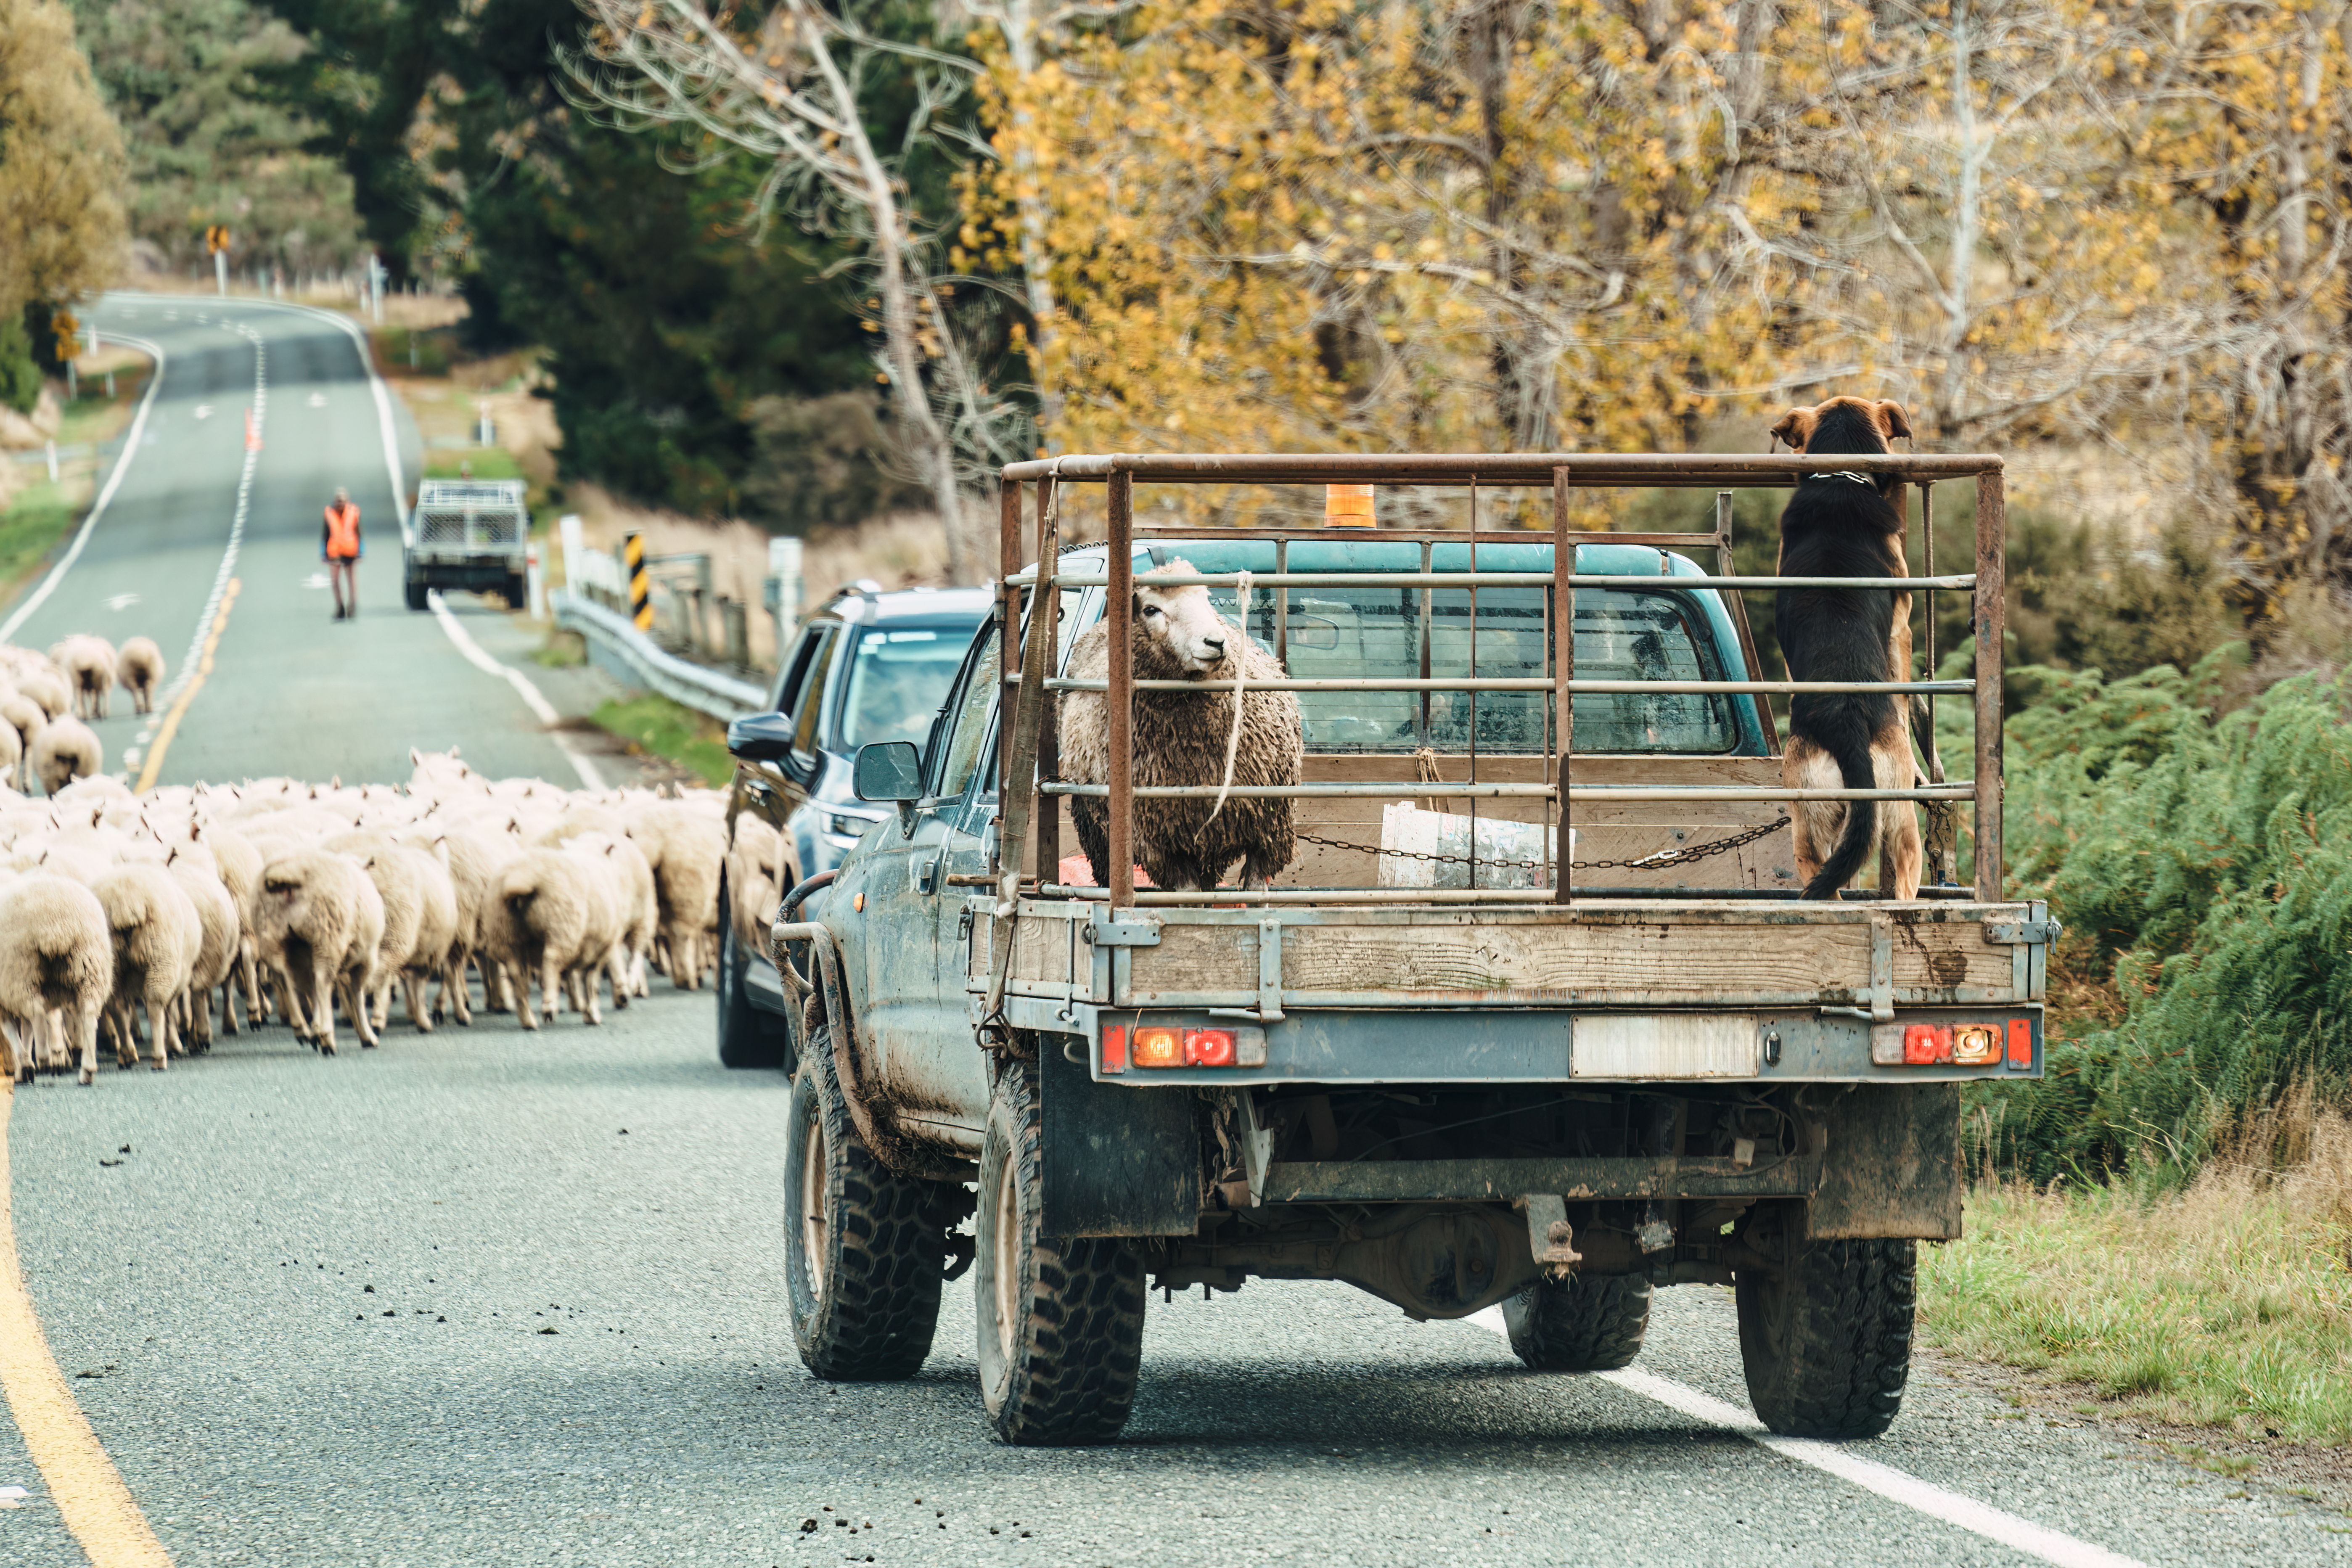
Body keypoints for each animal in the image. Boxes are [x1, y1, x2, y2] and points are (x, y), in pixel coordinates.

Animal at [0, 874, 111, 1084]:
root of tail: (56, 921)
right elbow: (25, 1031)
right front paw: (25, 1069)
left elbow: (13, 1031)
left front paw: (24, 1068)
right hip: (90, 965)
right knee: (89, 1015)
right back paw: (87, 1071)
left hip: (20, 969)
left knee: (36, 1012)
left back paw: (45, 1057)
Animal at [116, 637, 165, 715]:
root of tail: (140, 655)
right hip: (149, 676)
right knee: (146, 690)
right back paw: (147, 708)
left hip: (132, 676)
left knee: (137, 690)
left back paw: (141, 708)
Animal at [1058, 559, 1303, 891]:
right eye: (1150, 609)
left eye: (1205, 600)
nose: (1216, 642)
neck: (1196, 745)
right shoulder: (1162, 842)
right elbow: (1187, 893)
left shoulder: (1269, 826)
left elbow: (1255, 888)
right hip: (1094, 823)